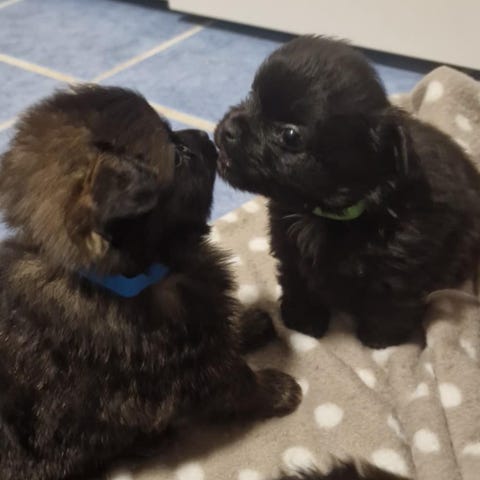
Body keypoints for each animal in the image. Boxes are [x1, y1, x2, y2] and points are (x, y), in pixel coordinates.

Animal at [0, 85, 301, 480]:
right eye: (179, 156)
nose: (206, 135)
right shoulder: (193, 368)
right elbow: (239, 380)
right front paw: (276, 389)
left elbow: (224, 328)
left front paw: (249, 323)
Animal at [215, 35, 480, 348]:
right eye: (252, 95)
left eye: (290, 135)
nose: (228, 129)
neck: (327, 213)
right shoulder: (288, 244)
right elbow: (296, 281)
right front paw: (303, 321)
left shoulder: (402, 263)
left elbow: (390, 302)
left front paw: (379, 341)